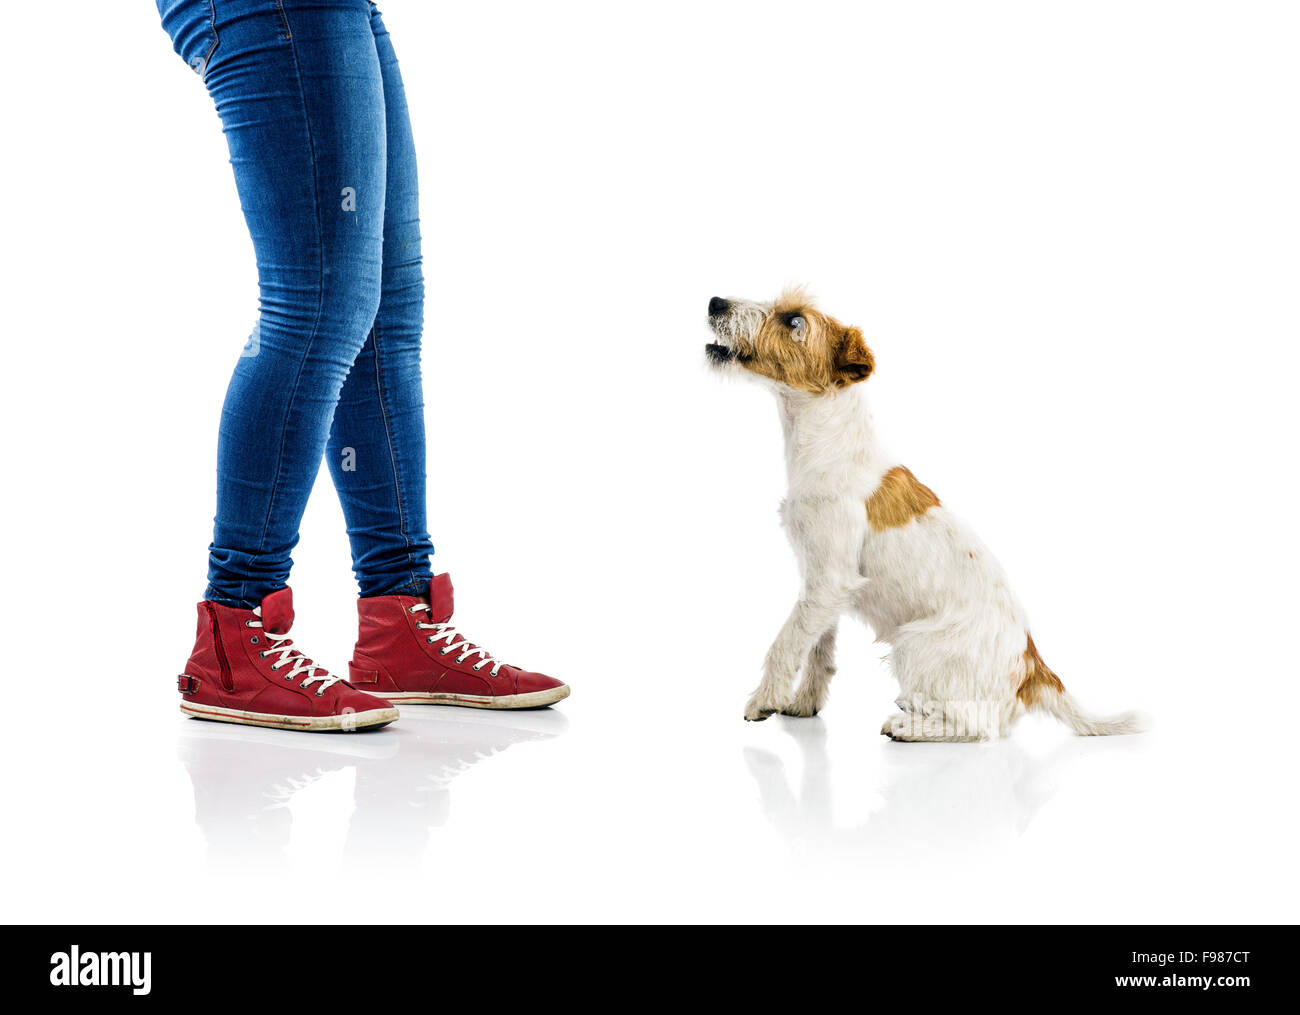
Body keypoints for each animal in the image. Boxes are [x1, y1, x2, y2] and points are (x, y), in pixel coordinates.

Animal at [707, 288, 1144, 738]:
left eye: (794, 321)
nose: (716, 301)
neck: (828, 443)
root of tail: (1033, 671)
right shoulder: (822, 581)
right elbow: (817, 647)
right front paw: (804, 703)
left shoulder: (828, 580)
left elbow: (786, 641)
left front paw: (764, 700)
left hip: (912, 644)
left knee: (976, 727)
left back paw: (906, 726)